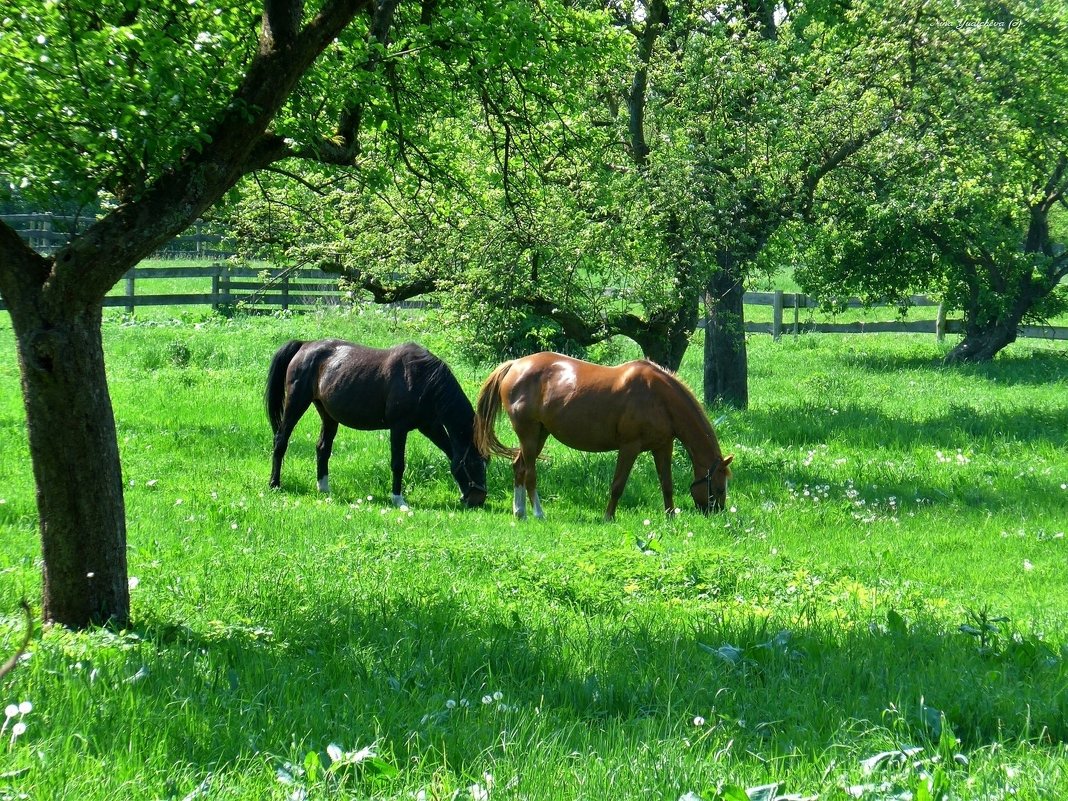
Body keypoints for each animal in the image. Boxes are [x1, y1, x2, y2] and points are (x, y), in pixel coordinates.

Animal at [263, 339, 489, 508]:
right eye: (475, 463)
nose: (478, 500)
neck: (423, 379)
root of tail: (305, 345)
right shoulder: (399, 428)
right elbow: (398, 464)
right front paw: (398, 500)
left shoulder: (430, 426)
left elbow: (451, 454)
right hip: (296, 403)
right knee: (281, 440)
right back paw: (275, 484)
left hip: (328, 415)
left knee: (322, 448)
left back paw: (324, 489)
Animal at [478, 352, 734, 521]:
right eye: (719, 489)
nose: (716, 516)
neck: (658, 397)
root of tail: (515, 365)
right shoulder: (629, 447)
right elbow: (618, 485)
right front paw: (608, 517)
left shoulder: (663, 446)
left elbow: (667, 484)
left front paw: (670, 517)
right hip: (529, 434)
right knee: (530, 473)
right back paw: (538, 514)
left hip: (540, 434)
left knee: (519, 467)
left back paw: (520, 512)